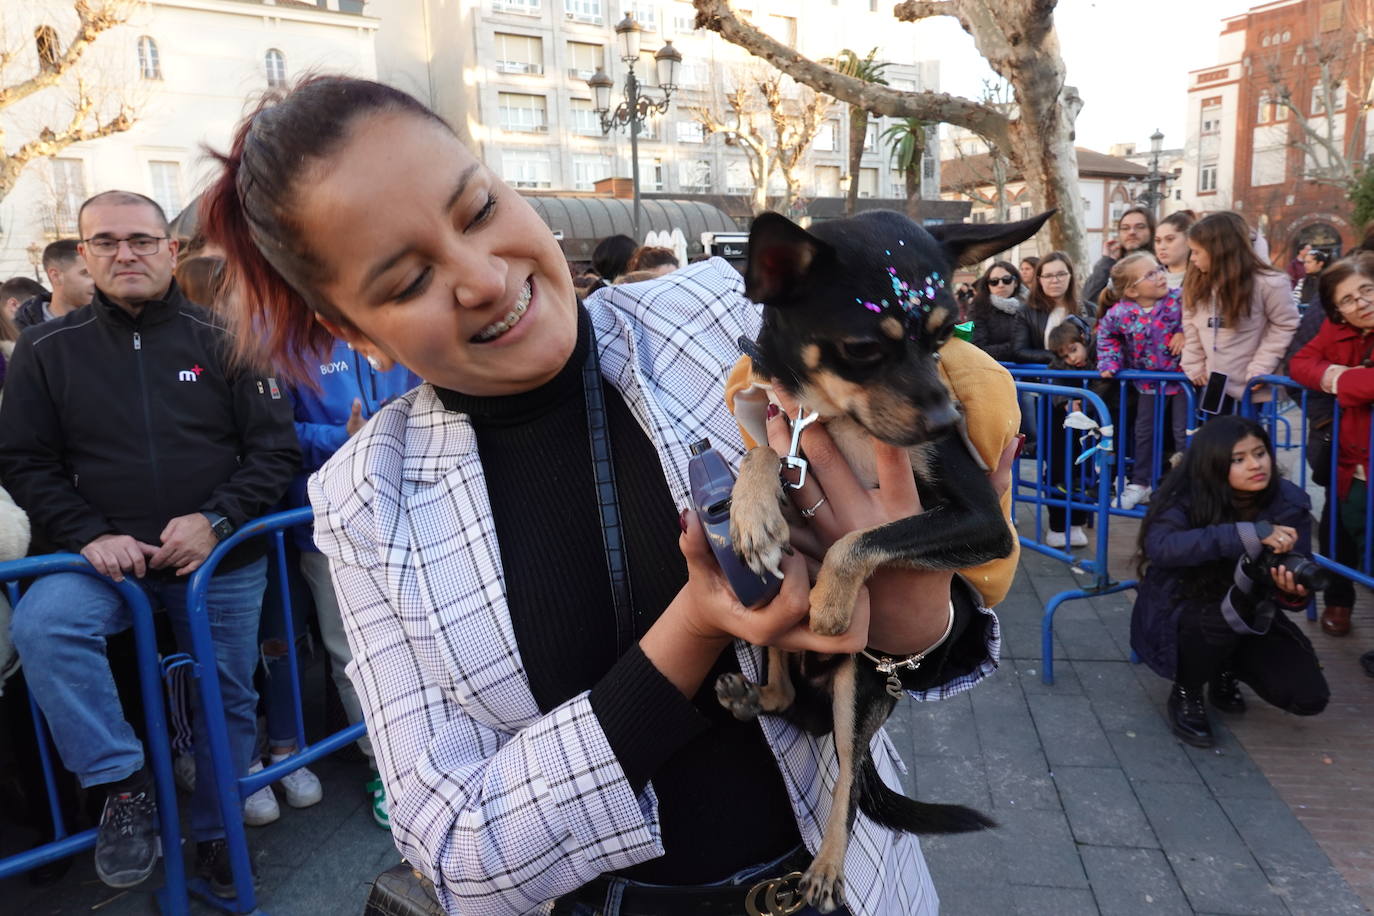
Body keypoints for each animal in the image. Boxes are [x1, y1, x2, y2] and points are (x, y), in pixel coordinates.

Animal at [719, 210, 1049, 916]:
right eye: (864, 348)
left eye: (945, 336)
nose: (948, 418)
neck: (842, 421)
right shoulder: (788, 428)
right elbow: (765, 449)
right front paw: (752, 511)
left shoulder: (986, 525)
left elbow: (863, 539)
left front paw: (831, 600)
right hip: (774, 623)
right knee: (782, 685)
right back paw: (752, 693)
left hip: (859, 685)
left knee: (847, 775)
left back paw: (825, 866)